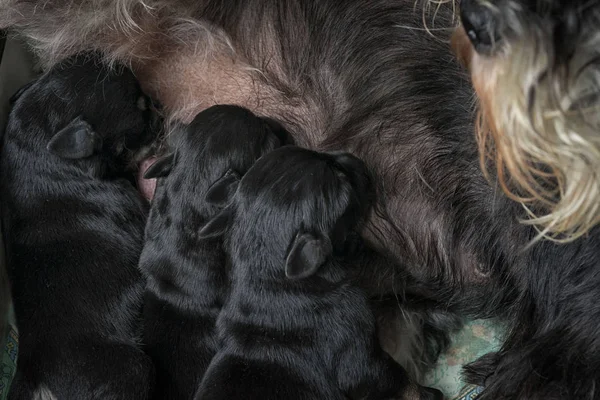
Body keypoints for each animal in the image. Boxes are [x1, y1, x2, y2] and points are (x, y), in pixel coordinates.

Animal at [196, 147, 440, 400]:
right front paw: (428, 393)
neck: (267, 278)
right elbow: (393, 378)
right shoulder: (358, 351)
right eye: (343, 183)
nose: (356, 159)